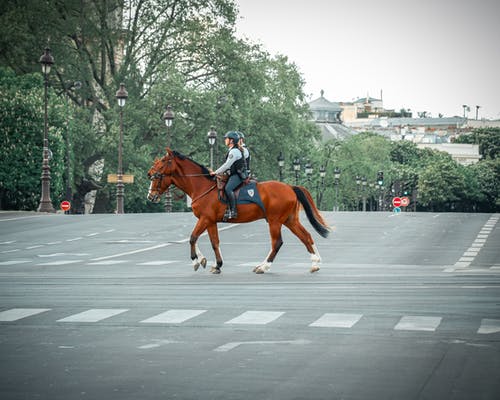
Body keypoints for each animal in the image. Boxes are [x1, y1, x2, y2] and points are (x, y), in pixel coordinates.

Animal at [146, 148, 330, 274]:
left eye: (162, 163)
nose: (150, 195)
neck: (202, 186)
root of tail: (290, 187)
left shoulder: (205, 219)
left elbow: (192, 238)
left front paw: (196, 261)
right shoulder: (210, 221)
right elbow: (214, 242)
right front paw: (216, 264)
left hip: (275, 221)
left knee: (277, 243)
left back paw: (263, 266)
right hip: (290, 220)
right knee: (306, 236)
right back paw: (315, 262)